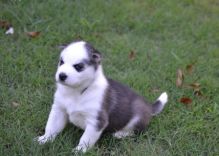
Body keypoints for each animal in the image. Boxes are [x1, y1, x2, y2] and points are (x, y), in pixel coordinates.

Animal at [36, 40, 169, 153]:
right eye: (61, 62)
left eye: (78, 66)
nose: (61, 75)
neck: (77, 91)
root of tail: (149, 106)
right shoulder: (58, 110)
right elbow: (51, 127)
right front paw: (45, 139)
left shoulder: (96, 121)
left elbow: (85, 139)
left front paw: (79, 151)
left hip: (137, 117)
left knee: (135, 131)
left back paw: (120, 134)